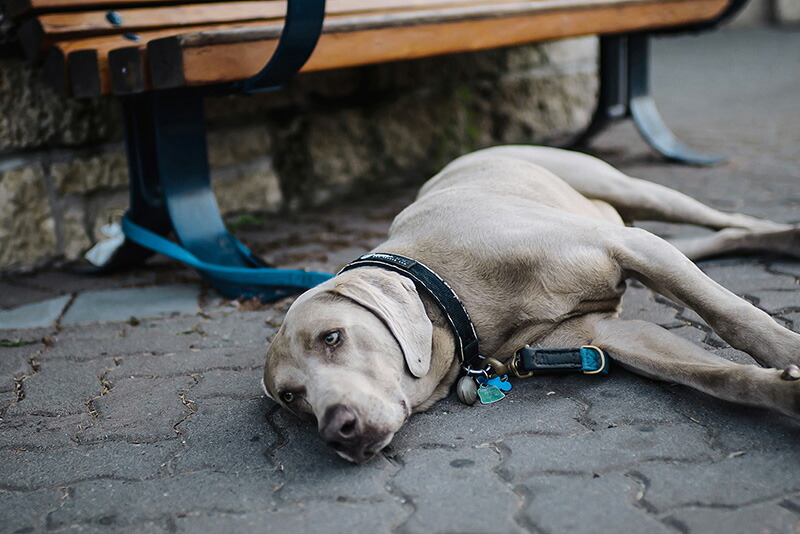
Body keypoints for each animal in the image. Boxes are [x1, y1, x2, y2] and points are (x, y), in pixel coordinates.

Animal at [262, 146, 800, 464]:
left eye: (332, 337)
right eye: (291, 397)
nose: (337, 431)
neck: (455, 293)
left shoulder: (628, 246)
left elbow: (734, 315)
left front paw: (790, 354)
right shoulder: (606, 336)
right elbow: (719, 376)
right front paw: (784, 389)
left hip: (629, 192)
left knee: (731, 220)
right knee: (721, 237)